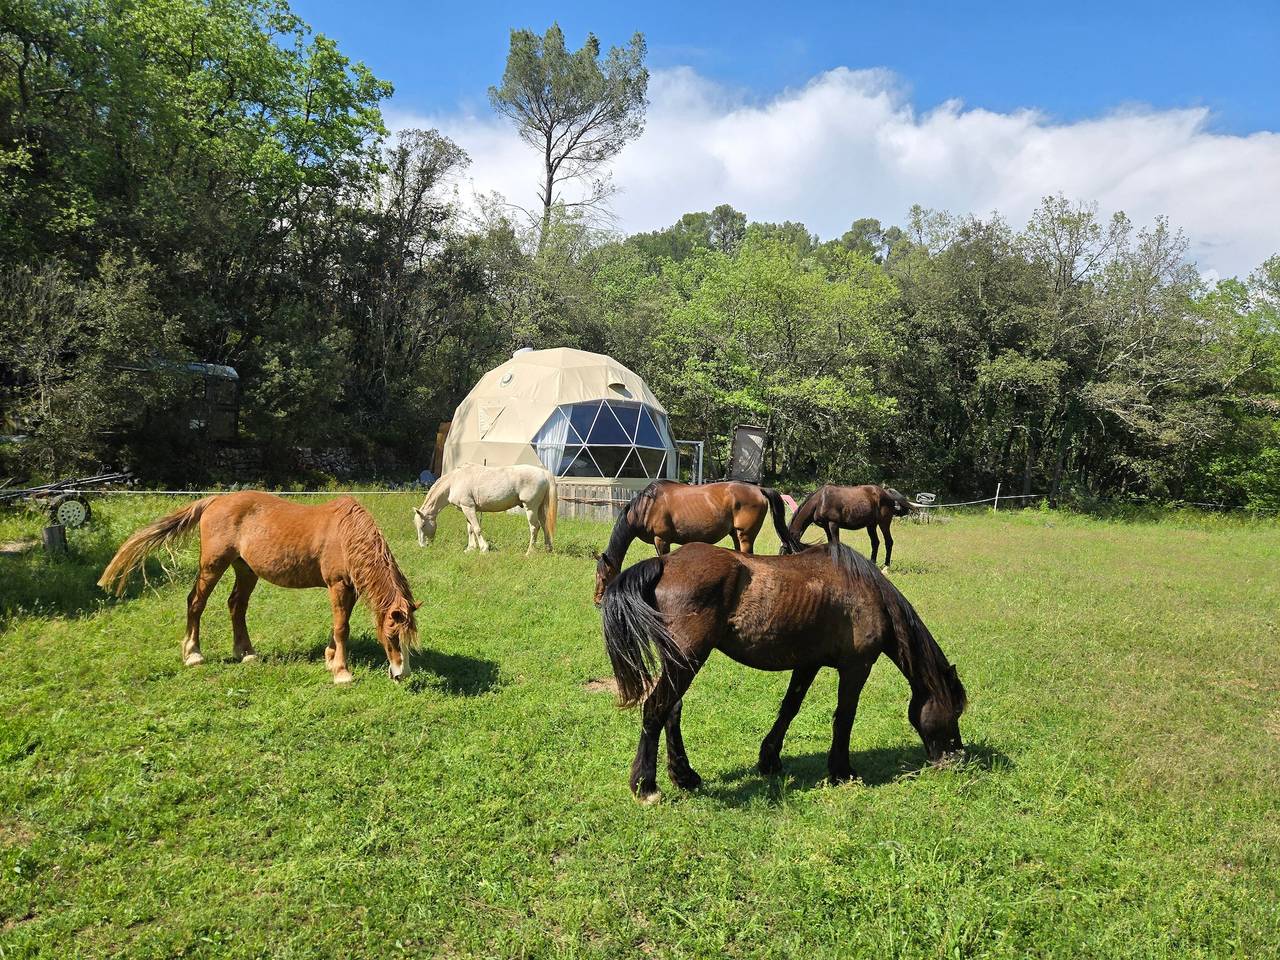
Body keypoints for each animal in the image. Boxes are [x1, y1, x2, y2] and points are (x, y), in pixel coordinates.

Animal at [98, 492, 420, 684]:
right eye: (392, 636)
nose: (401, 674)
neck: (345, 534)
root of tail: (215, 500)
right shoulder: (338, 585)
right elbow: (342, 628)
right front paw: (341, 672)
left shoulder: (349, 588)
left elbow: (338, 625)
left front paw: (330, 660)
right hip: (213, 564)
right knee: (195, 603)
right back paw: (193, 654)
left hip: (245, 569)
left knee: (236, 605)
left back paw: (246, 653)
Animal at [413, 463, 557, 555]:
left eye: (423, 525)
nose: (422, 546)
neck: (454, 481)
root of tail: (544, 473)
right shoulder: (467, 509)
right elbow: (470, 529)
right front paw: (470, 549)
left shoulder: (469, 508)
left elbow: (477, 529)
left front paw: (483, 548)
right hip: (539, 508)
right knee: (544, 525)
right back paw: (548, 549)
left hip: (531, 508)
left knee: (535, 527)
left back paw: (529, 552)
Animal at [592, 480, 803, 604]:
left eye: (604, 578)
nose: (597, 600)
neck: (647, 506)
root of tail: (758, 489)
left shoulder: (662, 540)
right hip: (736, 535)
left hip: (745, 535)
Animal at [600, 541, 966, 802]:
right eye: (955, 711)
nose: (956, 757)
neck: (868, 593)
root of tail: (665, 562)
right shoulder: (856, 667)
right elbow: (844, 717)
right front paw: (842, 771)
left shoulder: (808, 664)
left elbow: (790, 708)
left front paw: (769, 760)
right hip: (688, 658)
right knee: (655, 709)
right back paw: (646, 787)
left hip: (681, 661)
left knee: (671, 711)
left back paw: (685, 776)